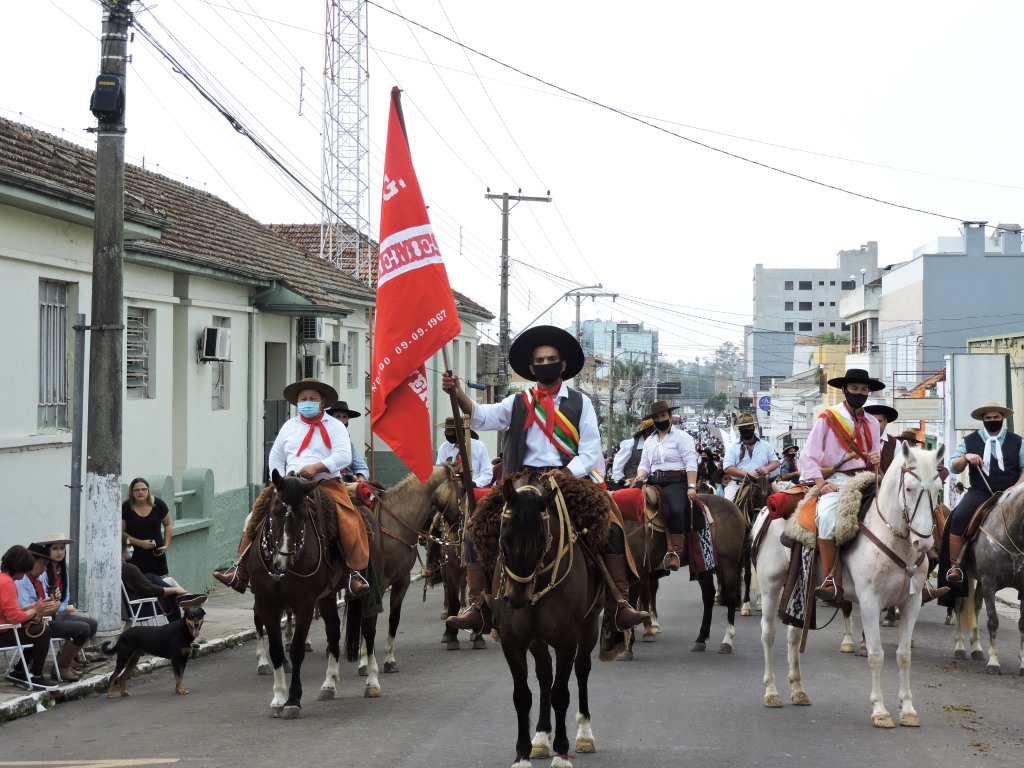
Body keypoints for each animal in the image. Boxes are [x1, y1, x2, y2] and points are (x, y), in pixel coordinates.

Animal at [249, 473, 382, 720]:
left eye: (303, 513)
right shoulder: (266, 604)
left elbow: (296, 650)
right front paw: (278, 698)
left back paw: (372, 681)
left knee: (369, 631)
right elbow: (276, 651)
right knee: (333, 631)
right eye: (275, 509)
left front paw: (293, 701)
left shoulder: (304, 604)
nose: (282, 562)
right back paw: (329, 684)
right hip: (327, 597)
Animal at [753, 442, 942, 729]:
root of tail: (768, 509)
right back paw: (771, 692)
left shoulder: (912, 603)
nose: (924, 543)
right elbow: (876, 654)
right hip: (771, 585)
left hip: (800, 587)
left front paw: (908, 710)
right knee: (768, 634)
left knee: (793, 636)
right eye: (909, 488)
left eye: (938, 489)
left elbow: (903, 655)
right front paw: (880, 710)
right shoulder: (870, 602)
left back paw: (798, 690)